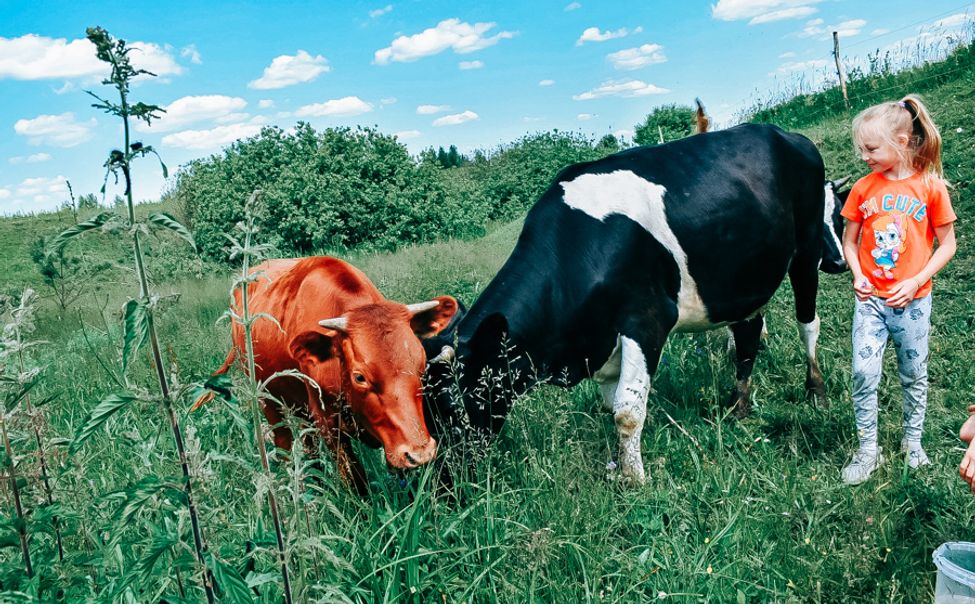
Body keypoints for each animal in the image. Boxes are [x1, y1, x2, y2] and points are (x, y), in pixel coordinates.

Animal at [220, 255, 462, 496]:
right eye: (360, 377)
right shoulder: (329, 426)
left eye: (421, 365)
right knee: (284, 443)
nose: (420, 453)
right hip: (266, 399)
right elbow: (356, 483)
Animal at [428, 125, 848, 484]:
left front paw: (636, 481)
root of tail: (784, 133)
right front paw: (619, 467)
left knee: (808, 323)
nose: (444, 482)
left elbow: (627, 413)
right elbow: (611, 405)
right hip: (746, 276)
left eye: (454, 403)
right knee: (747, 335)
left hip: (807, 251)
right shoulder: (600, 343)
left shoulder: (646, 321)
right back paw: (737, 406)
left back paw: (816, 391)